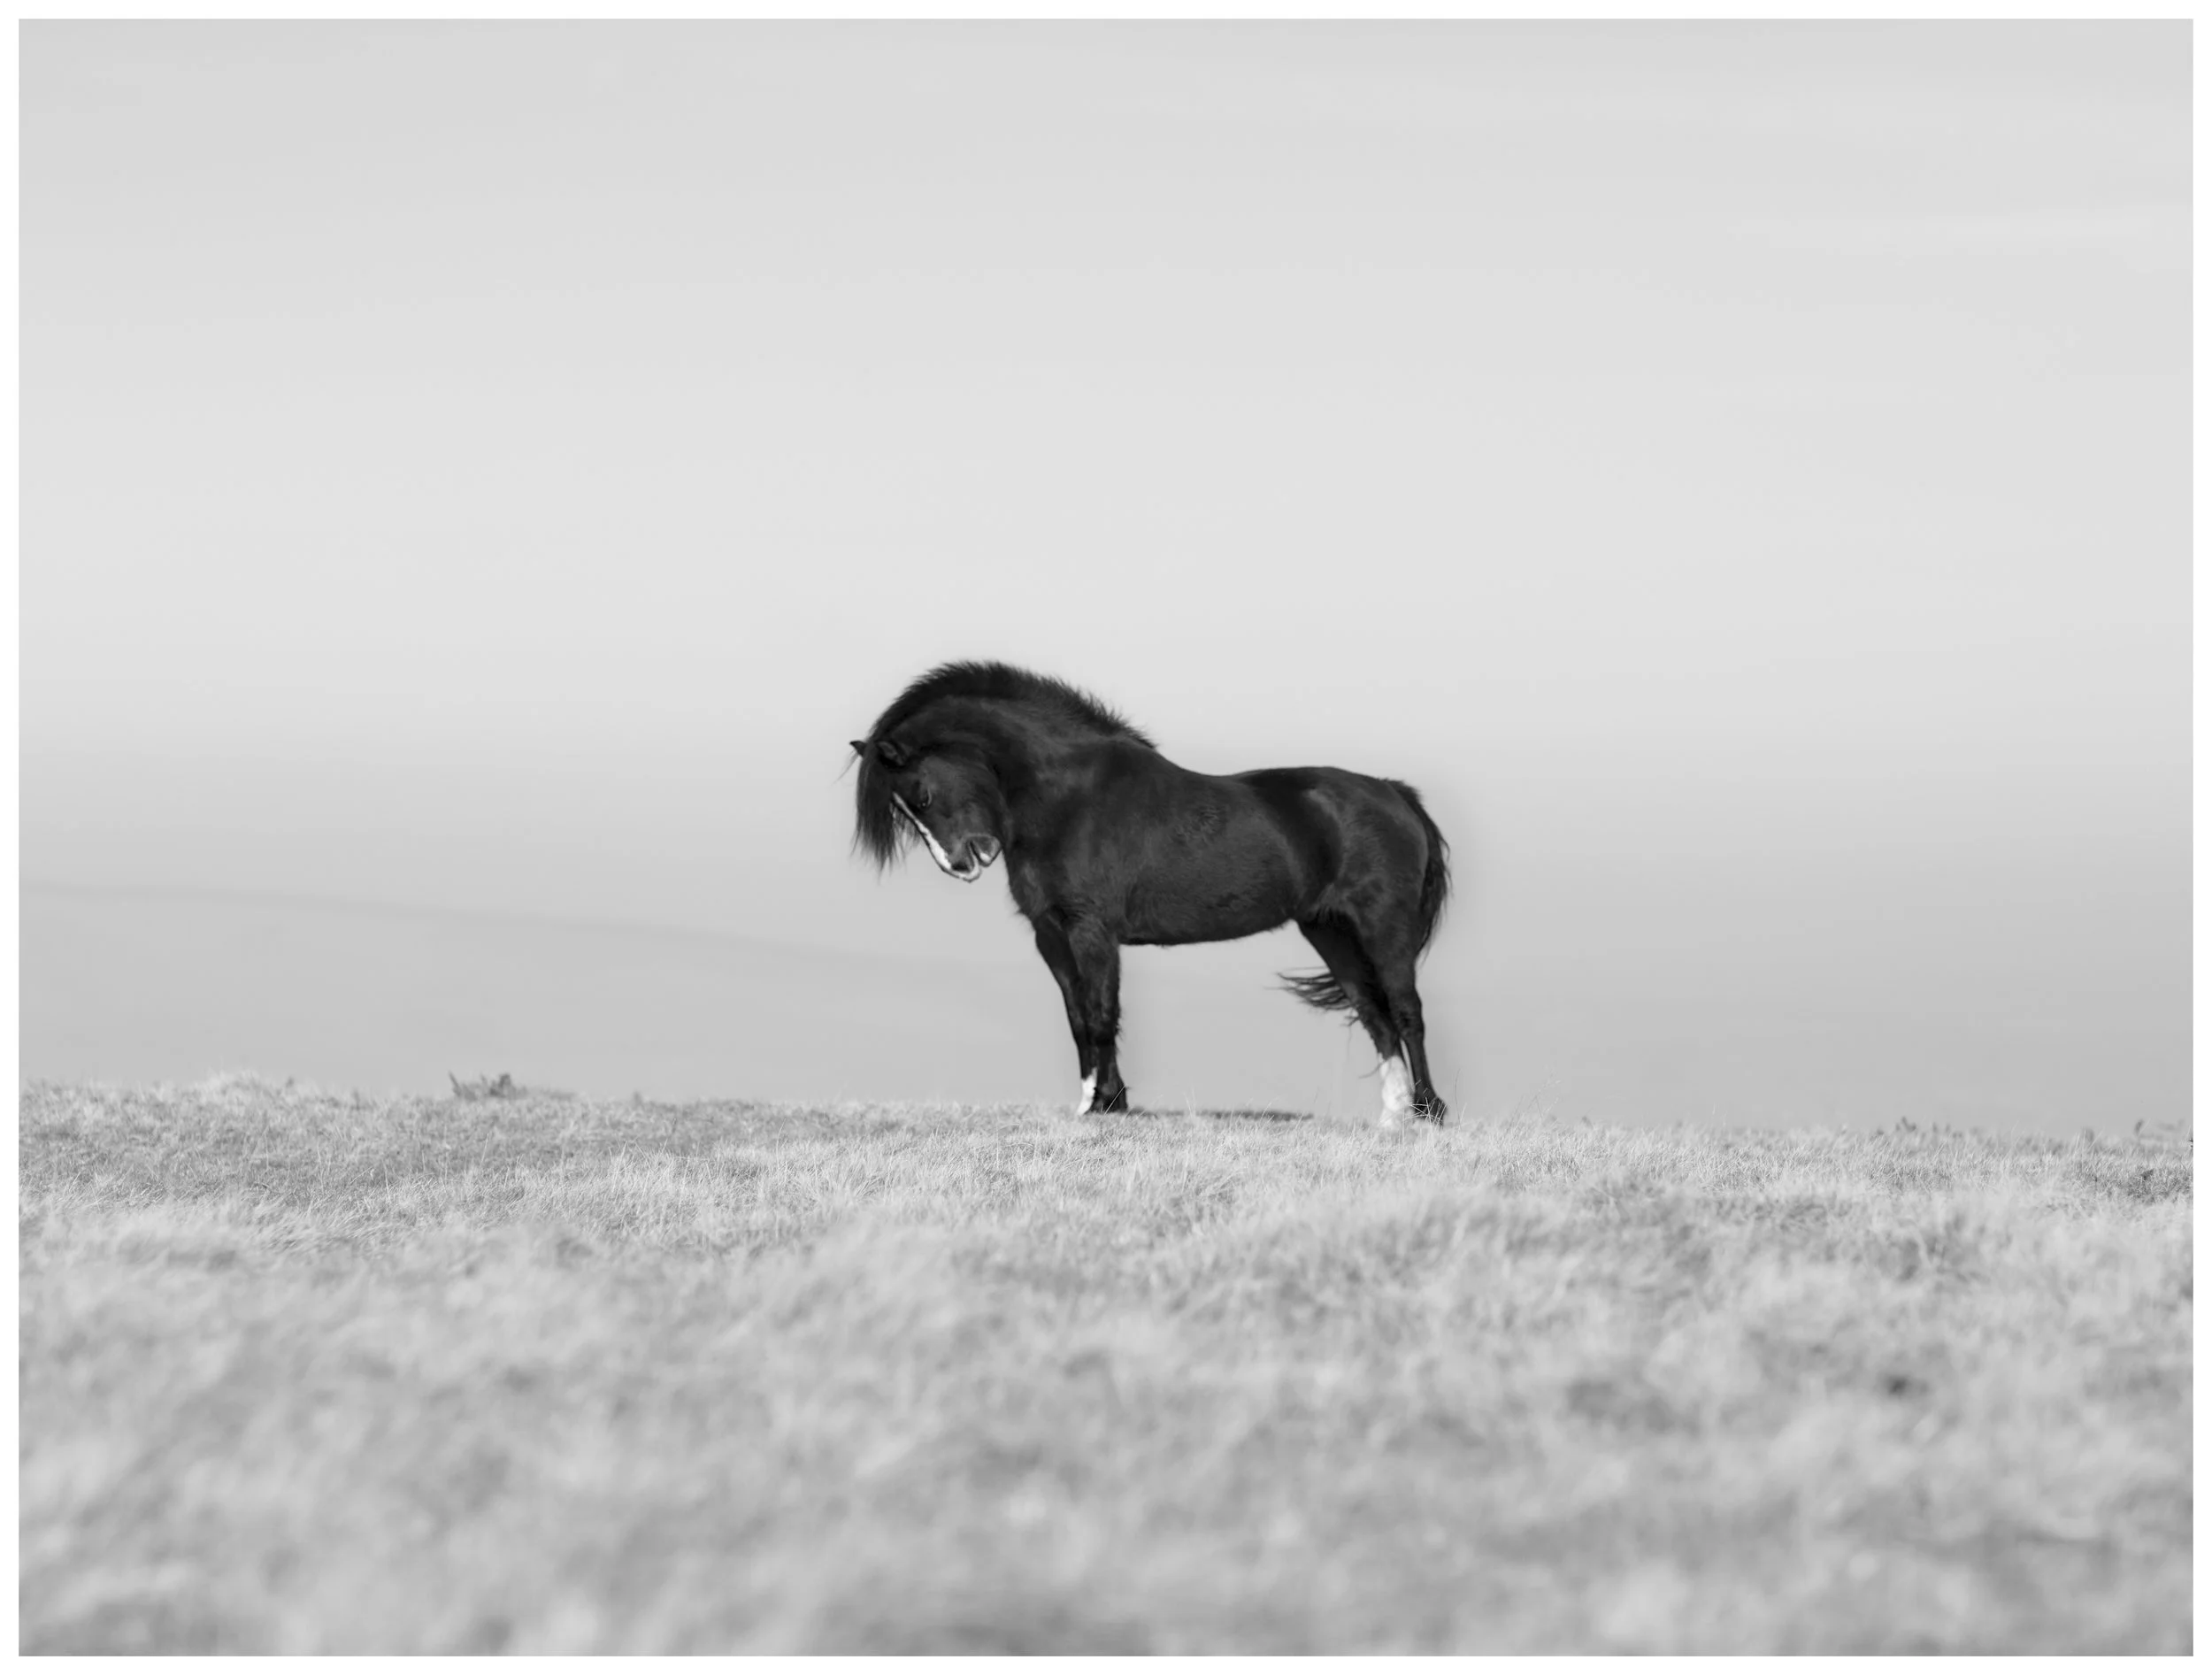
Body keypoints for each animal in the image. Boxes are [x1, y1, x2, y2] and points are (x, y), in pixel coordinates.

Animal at [848, 661, 1453, 1126]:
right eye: (905, 812)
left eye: (921, 794)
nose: (965, 861)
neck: (1067, 795)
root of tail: (1394, 793)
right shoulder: (1052, 933)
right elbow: (1079, 1017)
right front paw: (1098, 1104)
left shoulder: (1092, 929)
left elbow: (1101, 1013)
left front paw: (1103, 1106)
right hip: (1329, 931)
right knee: (1373, 1013)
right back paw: (1392, 1117)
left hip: (1382, 926)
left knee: (1406, 1011)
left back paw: (1429, 1111)